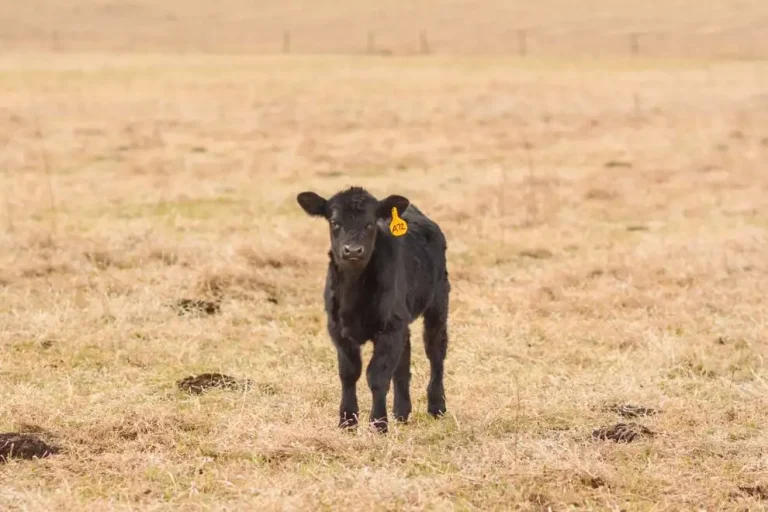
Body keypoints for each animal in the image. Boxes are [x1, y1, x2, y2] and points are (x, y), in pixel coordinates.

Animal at [297, 186, 450, 433]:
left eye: (370, 224)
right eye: (334, 222)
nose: (352, 251)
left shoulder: (389, 327)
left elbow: (377, 375)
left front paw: (378, 424)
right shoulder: (338, 328)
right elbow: (349, 373)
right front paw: (347, 421)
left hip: (438, 301)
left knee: (436, 351)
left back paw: (437, 406)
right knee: (404, 359)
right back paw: (401, 412)